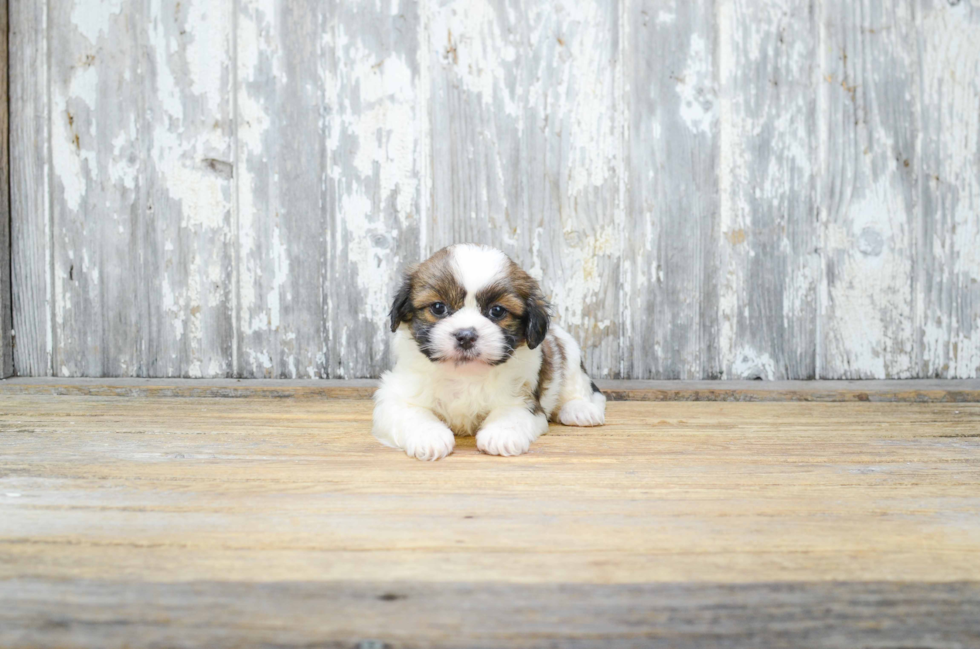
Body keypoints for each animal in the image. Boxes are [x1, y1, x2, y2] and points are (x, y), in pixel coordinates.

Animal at [374, 243, 604, 460]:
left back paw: (580, 409)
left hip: (570, 353)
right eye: (438, 307)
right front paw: (429, 437)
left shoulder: (523, 397)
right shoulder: (395, 396)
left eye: (497, 311)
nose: (466, 336)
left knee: (576, 387)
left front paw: (501, 435)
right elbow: (411, 413)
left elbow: (510, 413)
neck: (464, 375)